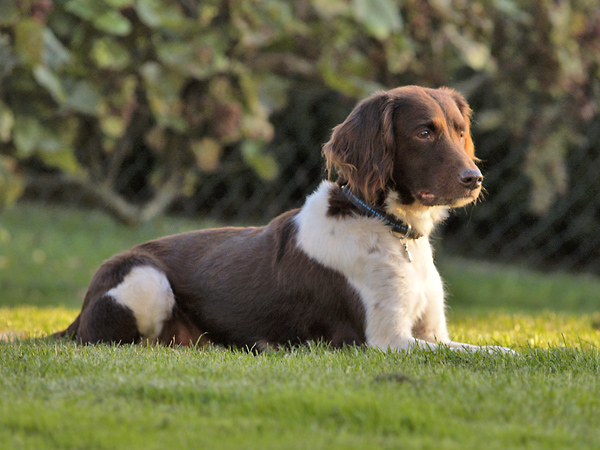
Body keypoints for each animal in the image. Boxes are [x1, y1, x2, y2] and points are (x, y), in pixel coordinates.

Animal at [56, 87, 512, 356]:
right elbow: (485, 354)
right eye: (423, 133)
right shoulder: (387, 341)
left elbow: (496, 350)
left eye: (460, 130)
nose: (474, 178)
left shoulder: (434, 335)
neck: (387, 225)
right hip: (146, 279)